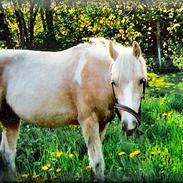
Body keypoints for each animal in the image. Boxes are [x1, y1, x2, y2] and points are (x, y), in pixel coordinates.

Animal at [0, 37, 147, 182]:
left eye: (141, 80)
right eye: (114, 82)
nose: (129, 125)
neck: (93, 75)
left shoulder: (101, 125)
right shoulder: (88, 122)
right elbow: (98, 163)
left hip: (10, 119)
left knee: (6, 154)